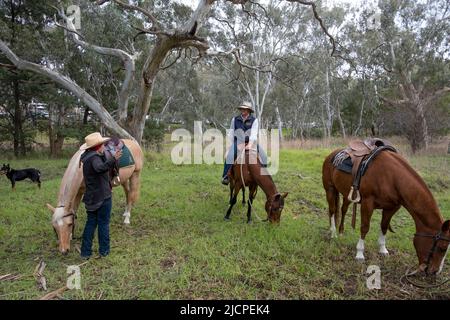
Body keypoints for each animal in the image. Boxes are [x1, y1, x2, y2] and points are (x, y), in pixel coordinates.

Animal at [322, 148, 448, 276]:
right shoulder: (368, 203)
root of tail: (332, 154)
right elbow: (365, 227)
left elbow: (384, 227)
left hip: (347, 193)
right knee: (332, 211)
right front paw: (360, 253)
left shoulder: (391, 208)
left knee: (343, 209)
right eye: (442, 248)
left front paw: (383, 249)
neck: (393, 177)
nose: (435, 272)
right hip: (330, 189)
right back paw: (333, 233)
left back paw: (341, 231)